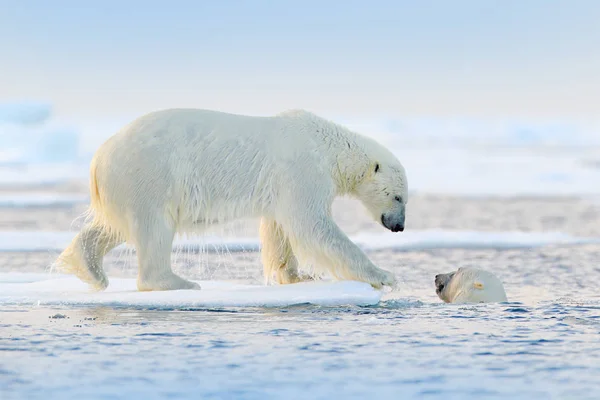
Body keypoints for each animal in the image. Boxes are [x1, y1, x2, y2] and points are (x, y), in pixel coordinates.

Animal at [55, 108, 408, 292]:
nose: (399, 227)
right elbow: (313, 226)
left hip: (126, 184)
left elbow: (279, 229)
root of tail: (98, 158)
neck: (329, 147)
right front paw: (384, 276)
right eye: (398, 196)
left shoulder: (282, 186)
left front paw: (297, 276)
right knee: (154, 227)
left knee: (114, 227)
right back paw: (179, 282)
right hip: (150, 173)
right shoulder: (302, 169)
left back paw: (89, 269)